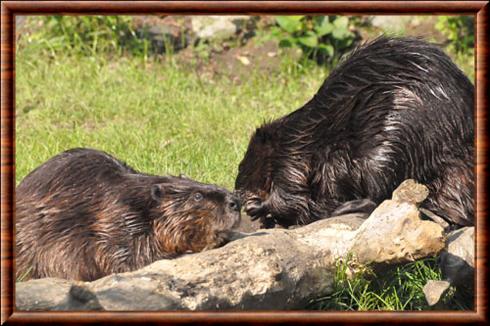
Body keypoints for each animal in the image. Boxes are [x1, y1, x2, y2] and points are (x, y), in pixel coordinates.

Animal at [237, 36, 474, 229]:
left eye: (243, 165)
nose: (238, 192)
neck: (296, 133)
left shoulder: (291, 161)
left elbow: (292, 197)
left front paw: (257, 207)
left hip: (387, 145)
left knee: (380, 196)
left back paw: (342, 208)